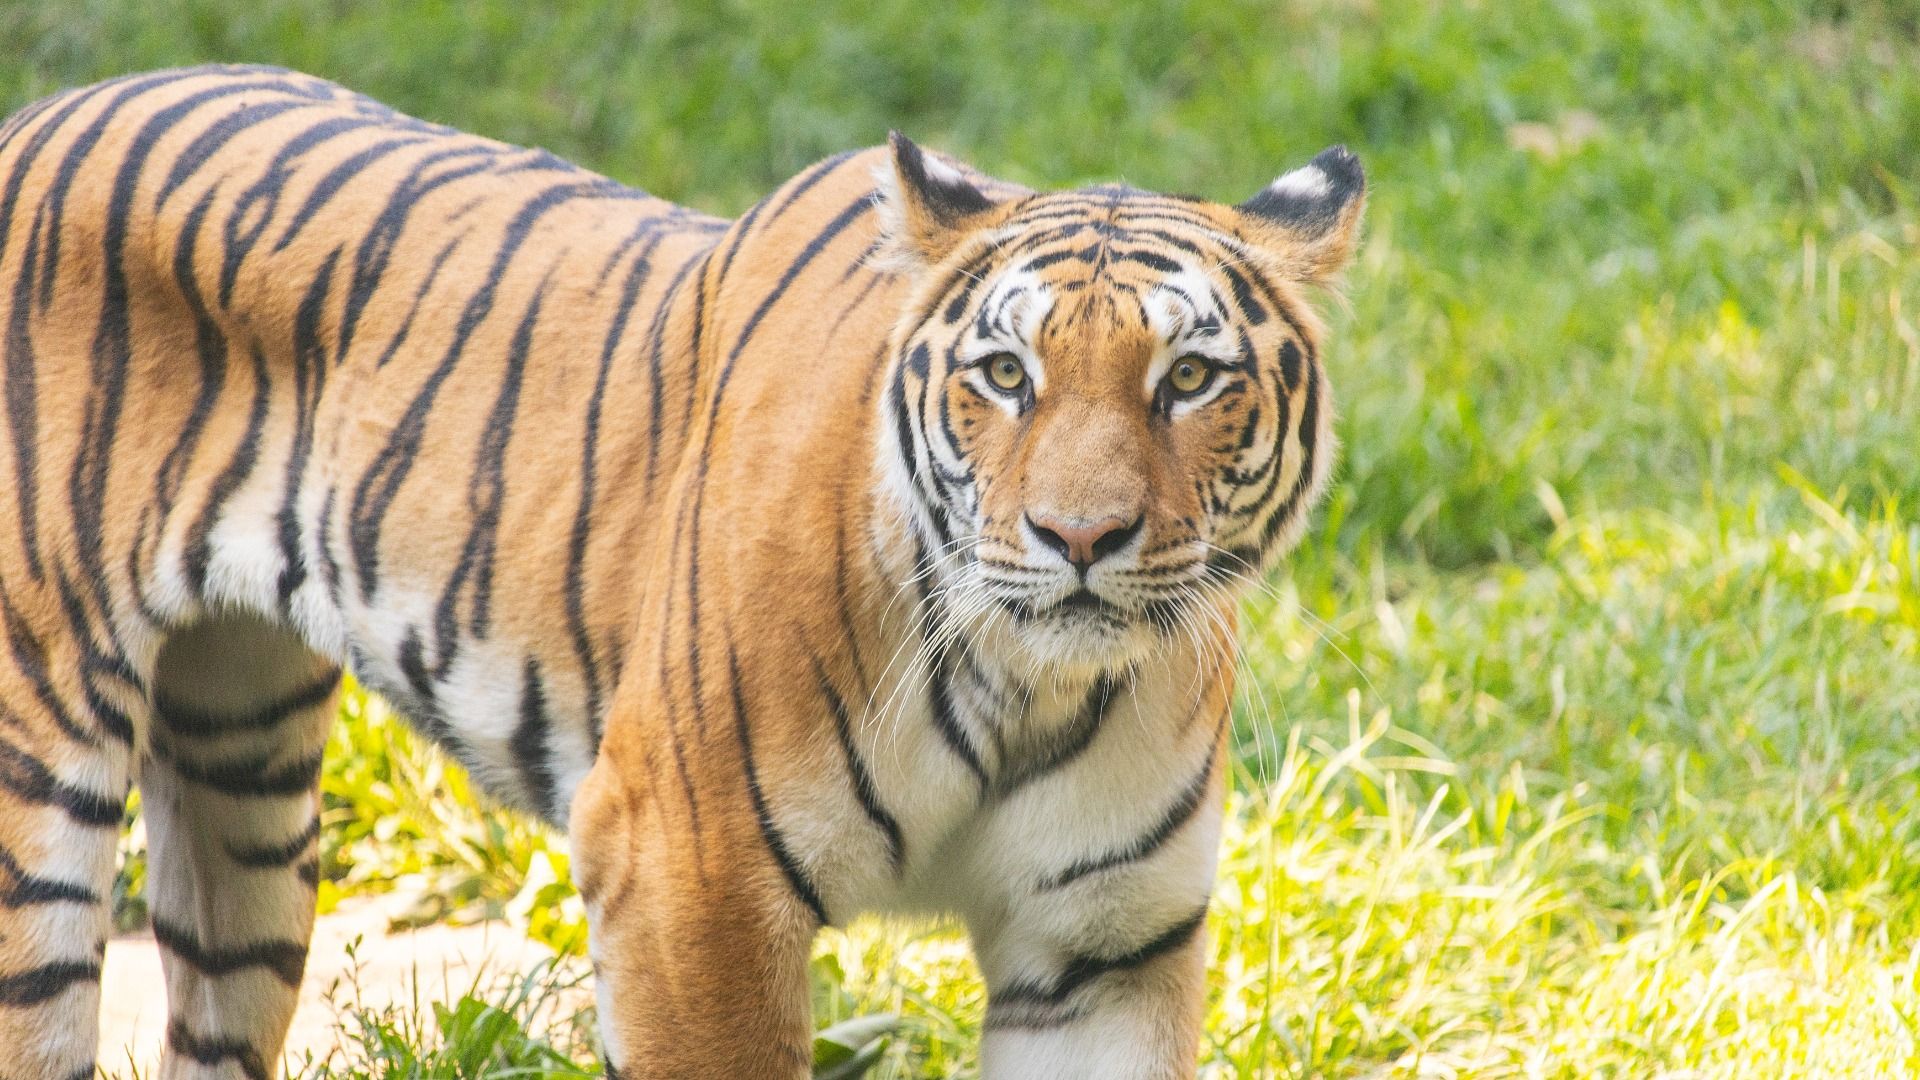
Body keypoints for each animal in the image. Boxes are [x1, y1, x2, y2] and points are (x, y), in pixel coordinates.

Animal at [0, 64, 1363, 1079]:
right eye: (1006, 375)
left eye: (1190, 378)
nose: (1078, 538)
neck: (1033, 688)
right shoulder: (686, 879)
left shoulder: (1101, 945)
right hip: (38, 782)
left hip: (245, 772)